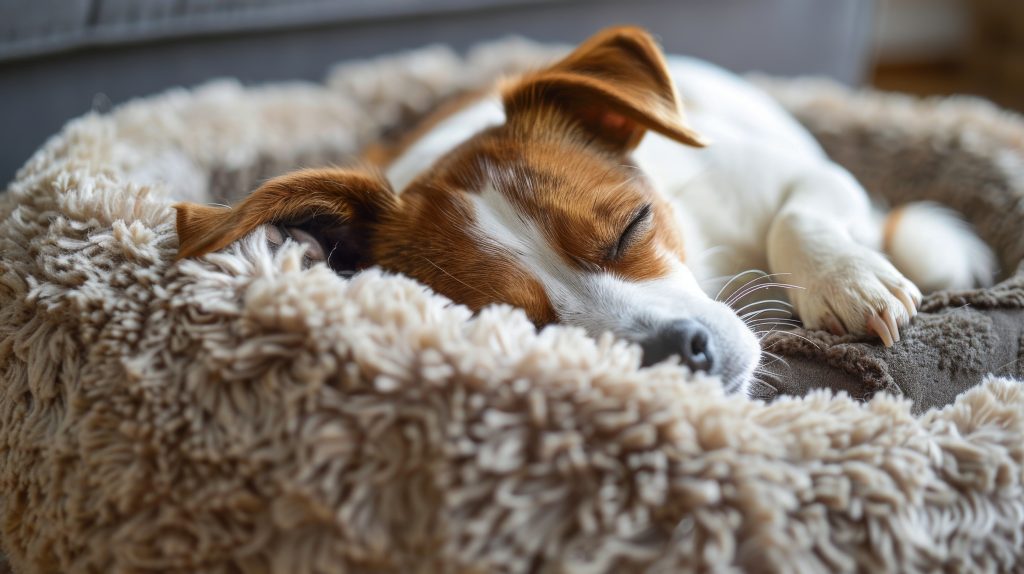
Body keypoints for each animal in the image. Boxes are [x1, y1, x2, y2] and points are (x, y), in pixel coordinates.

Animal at [174, 25, 991, 392]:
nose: (682, 348)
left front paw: (847, 280)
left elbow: (803, 212)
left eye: (632, 225)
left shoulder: (804, 175)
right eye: (519, 324)